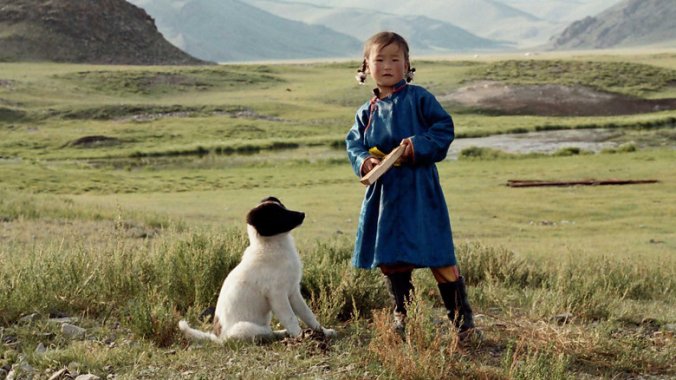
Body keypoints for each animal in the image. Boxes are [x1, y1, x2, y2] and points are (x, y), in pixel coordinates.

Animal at [177, 197, 336, 342]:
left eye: (284, 207)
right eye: (279, 214)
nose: (303, 214)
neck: (271, 246)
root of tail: (218, 338)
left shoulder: (293, 291)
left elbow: (308, 315)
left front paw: (323, 331)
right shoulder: (277, 295)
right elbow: (291, 318)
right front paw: (302, 337)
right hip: (248, 328)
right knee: (267, 333)